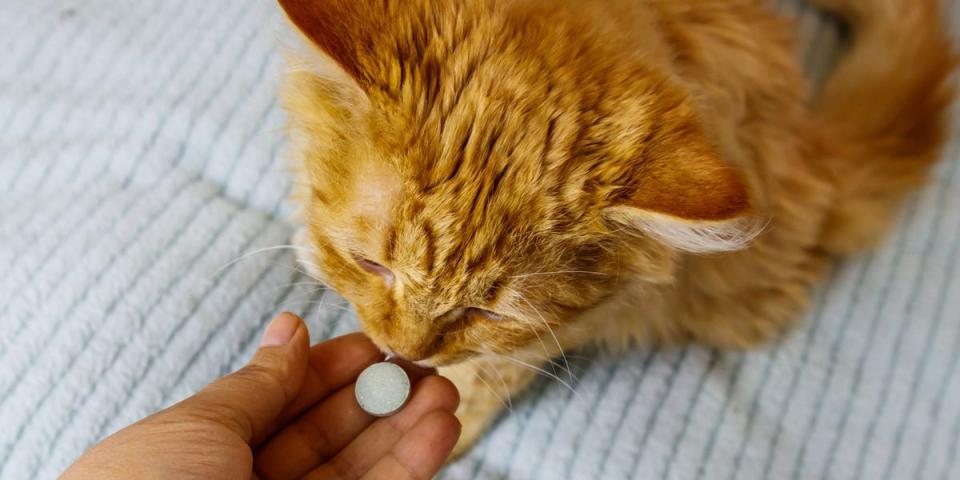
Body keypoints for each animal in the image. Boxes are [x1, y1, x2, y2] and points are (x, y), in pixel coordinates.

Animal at [276, 0, 952, 456]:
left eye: (490, 313)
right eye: (372, 263)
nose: (405, 351)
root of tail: (810, 150)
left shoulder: (588, 314)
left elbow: (497, 369)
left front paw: (459, 415)